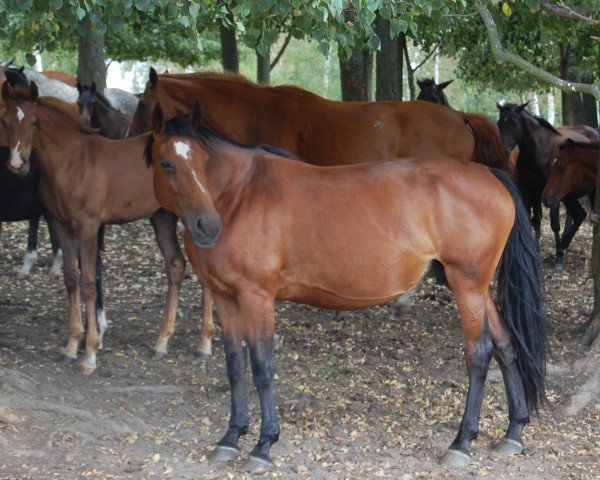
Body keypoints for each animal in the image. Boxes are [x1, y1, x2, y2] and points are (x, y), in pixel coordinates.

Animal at [148, 103, 548, 474]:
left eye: (203, 162)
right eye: (167, 163)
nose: (207, 226)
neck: (239, 196)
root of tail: (490, 175)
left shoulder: (256, 297)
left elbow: (262, 366)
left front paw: (263, 445)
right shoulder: (225, 297)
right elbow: (234, 366)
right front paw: (231, 437)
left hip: (467, 286)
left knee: (479, 354)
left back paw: (462, 441)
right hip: (474, 288)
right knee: (505, 344)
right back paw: (513, 432)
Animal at [496, 101, 596, 268]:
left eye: (514, 123)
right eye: (499, 123)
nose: (504, 151)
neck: (538, 150)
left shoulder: (550, 193)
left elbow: (554, 224)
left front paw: (558, 259)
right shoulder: (531, 191)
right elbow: (535, 219)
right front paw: (536, 251)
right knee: (573, 216)